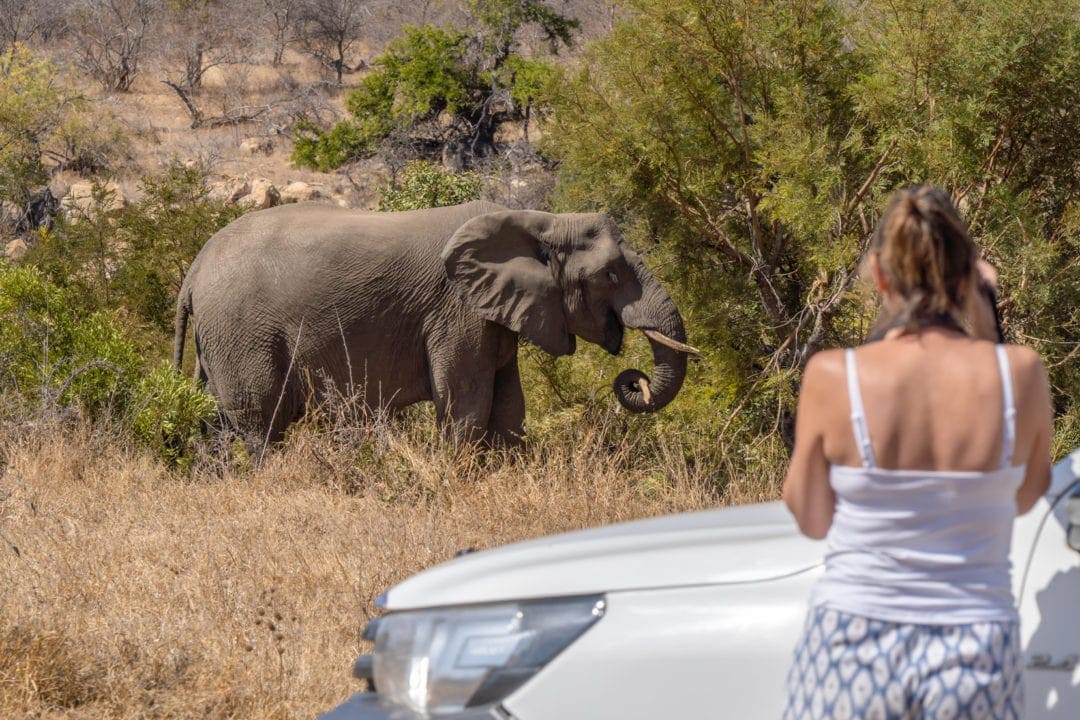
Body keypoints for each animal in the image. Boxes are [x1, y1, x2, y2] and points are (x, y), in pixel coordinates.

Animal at [174, 199, 699, 453]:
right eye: (611, 275)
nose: (635, 380)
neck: (539, 219)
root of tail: (194, 269)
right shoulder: (455, 311)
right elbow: (468, 403)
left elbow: (509, 405)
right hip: (243, 334)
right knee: (261, 424)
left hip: (222, 339)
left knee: (221, 425)